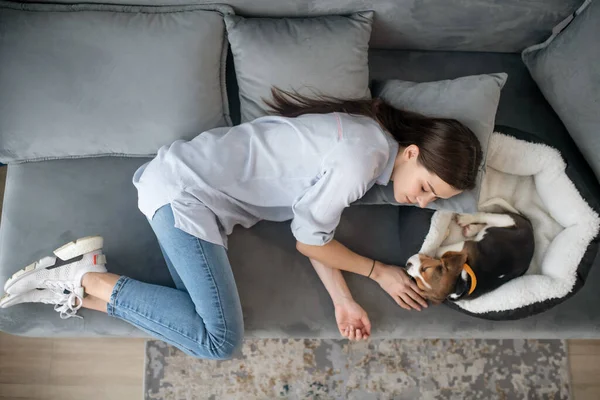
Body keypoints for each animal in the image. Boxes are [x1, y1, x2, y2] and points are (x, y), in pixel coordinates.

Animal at [404, 212, 536, 304]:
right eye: (418, 283)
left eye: (425, 268)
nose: (407, 265)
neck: (460, 283)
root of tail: (530, 229)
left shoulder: (464, 246)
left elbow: (439, 250)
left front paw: (443, 236)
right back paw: (471, 229)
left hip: (505, 220)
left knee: (484, 216)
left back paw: (465, 219)